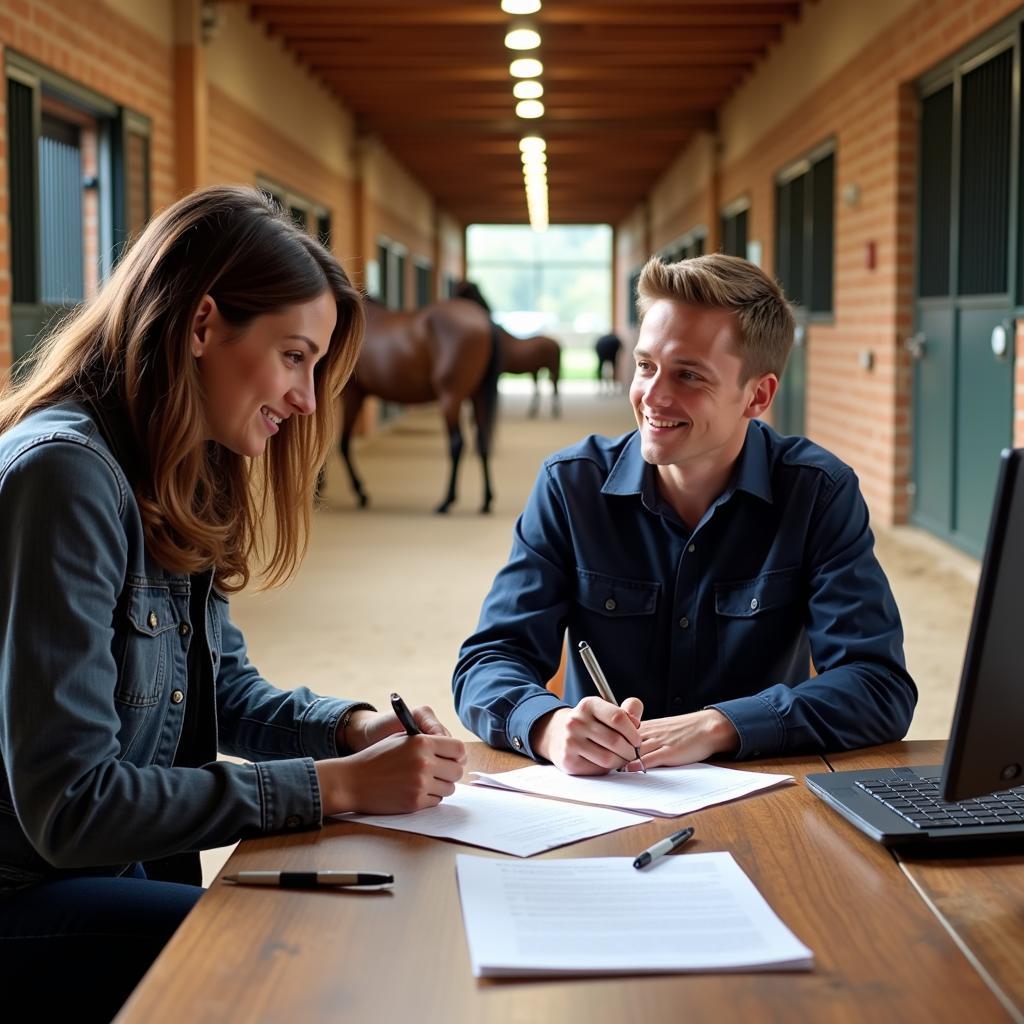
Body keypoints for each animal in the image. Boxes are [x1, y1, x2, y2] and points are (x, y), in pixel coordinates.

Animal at [339, 299, 499, 516]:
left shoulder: (351, 393)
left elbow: (342, 444)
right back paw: (486, 501)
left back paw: (446, 501)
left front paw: (360, 492)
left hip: (451, 397)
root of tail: (481, 319)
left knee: (457, 443)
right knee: (482, 441)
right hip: (478, 395)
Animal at [454, 280, 561, 415]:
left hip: (552, 369)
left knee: (554, 387)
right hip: (536, 370)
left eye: (461, 292)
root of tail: (556, 343)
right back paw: (533, 411)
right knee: (540, 388)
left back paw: (554, 412)